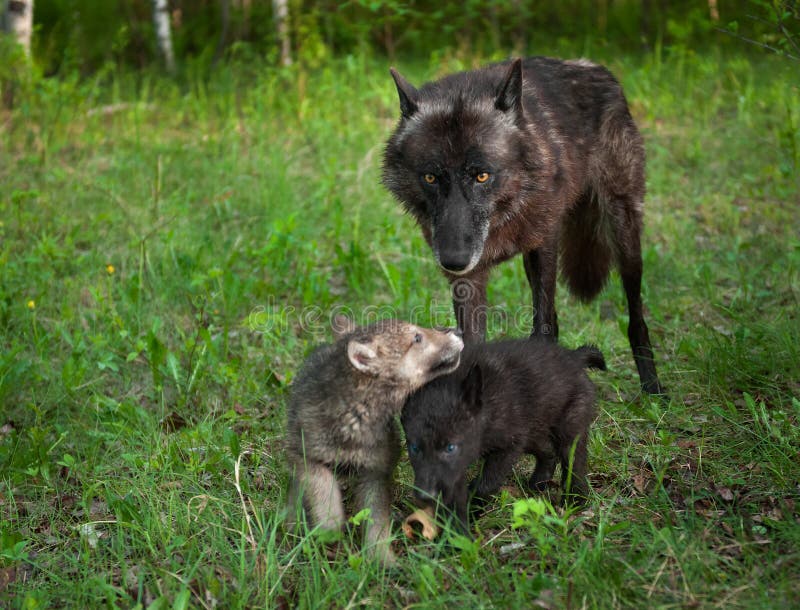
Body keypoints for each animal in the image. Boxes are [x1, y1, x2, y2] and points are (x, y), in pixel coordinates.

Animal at [286, 318, 462, 560]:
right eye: (417, 338)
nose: (458, 331)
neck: (356, 414)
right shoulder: (304, 455)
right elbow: (323, 489)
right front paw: (330, 527)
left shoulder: (375, 473)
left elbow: (376, 522)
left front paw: (381, 559)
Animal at [382, 55, 664, 390]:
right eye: (430, 177)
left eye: (482, 175)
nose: (453, 261)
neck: (504, 216)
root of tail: (595, 67)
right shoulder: (469, 278)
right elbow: (472, 345)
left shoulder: (545, 244)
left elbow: (542, 325)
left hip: (624, 235)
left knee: (635, 315)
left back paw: (652, 387)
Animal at [404, 338, 604, 532]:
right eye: (414, 448)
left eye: (450, 447)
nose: (425, 495)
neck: (485, 409)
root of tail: (574, 357)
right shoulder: (459, 464)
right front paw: (457, 533)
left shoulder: (508, 447)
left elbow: (485, 485)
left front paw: (472, 511)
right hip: (533, 431)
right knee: (548, 452)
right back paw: (537, 483)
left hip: (570, 426)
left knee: (574, 463)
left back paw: (575, 501)